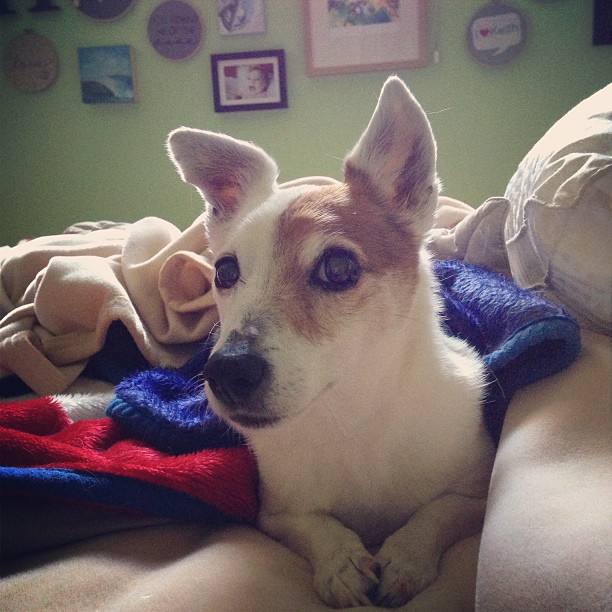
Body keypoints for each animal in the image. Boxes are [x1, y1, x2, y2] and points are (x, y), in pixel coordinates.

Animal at [167, 76, 495, 608]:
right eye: (225, 272)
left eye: (338, 268)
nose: (227, 370)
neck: (349, 417)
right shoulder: (274, 514)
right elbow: (313, 525)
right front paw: (340, 562)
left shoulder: (477, 491)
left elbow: (439, 512)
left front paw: (405, 556)